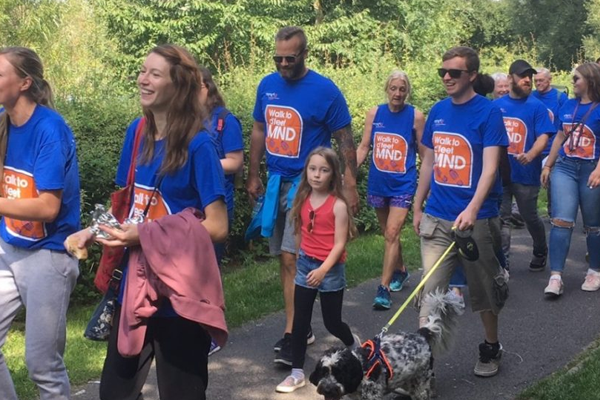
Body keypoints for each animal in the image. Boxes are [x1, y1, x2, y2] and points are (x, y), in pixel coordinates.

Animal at [310, 290, 464, 400]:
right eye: (324, 371)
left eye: (339, 373)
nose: (327, 389)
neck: (361, 366)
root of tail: (422, 333)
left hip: (419, 379)